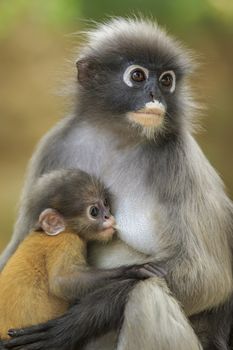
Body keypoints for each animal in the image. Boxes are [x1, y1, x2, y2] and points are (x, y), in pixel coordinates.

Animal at [0, 17, 233, 350]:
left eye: (166, 80)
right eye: (137, 76)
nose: (155, 95)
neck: (117, 137)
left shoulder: (178, 157)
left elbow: (209, 277)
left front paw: (77, 323)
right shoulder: (55, 144)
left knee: (146, 295)